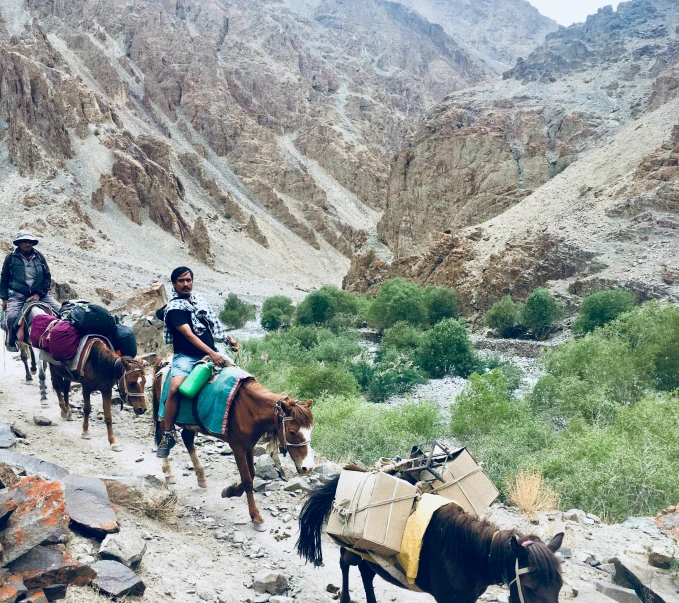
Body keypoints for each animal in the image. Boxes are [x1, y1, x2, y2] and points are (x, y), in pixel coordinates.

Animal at [153, 364, 314, 528]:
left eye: (311, 429)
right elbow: (247, 479)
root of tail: (162, 367)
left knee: (187, 438)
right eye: (292, 431)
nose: (308, 467)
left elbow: (252, 474)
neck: (248, 408)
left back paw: (201, 476)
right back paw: (168, 472)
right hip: (163, 416)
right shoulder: (237, 447)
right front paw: (255, 515)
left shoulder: (249, 445)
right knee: (162, 437)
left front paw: (231, 491)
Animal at [298, 474, 564, 603]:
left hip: (371, 555)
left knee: (367, 572)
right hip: (352, 549)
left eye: (559, 587)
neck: (469, 556)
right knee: (345, 564)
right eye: (529, 588)